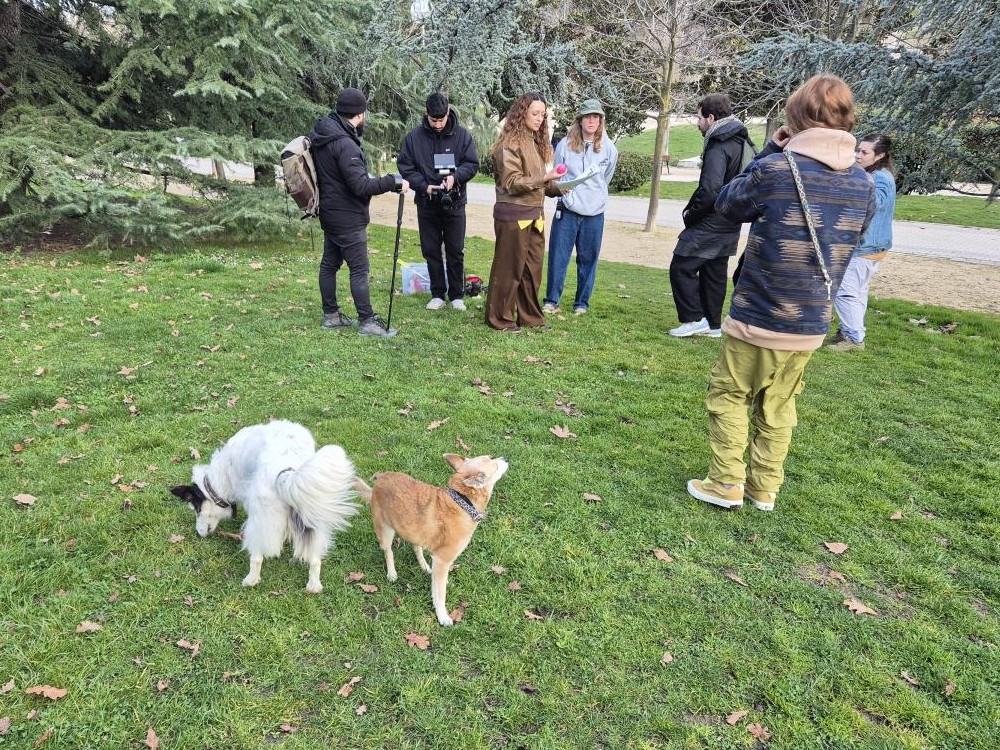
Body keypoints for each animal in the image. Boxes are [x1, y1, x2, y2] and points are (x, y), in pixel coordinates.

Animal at [170, 420, 358, 593]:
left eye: (196, 509)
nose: (197, 534)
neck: (221, 477)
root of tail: (287, 472)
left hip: (260, 518)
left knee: (257, 557)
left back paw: (251, 579)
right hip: (311, 515)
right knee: (315, 559)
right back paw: (313, 585)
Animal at [354, 453, 509, 626]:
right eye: (494, 463)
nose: (506, 458)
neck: (463, 502)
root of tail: (379, 480)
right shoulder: (442, 560)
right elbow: (440, 595)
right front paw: (442, 616)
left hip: (413, 529)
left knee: (416, 548)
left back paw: (425, 566)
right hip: (385, 530)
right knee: (388, 552)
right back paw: (392, 573)